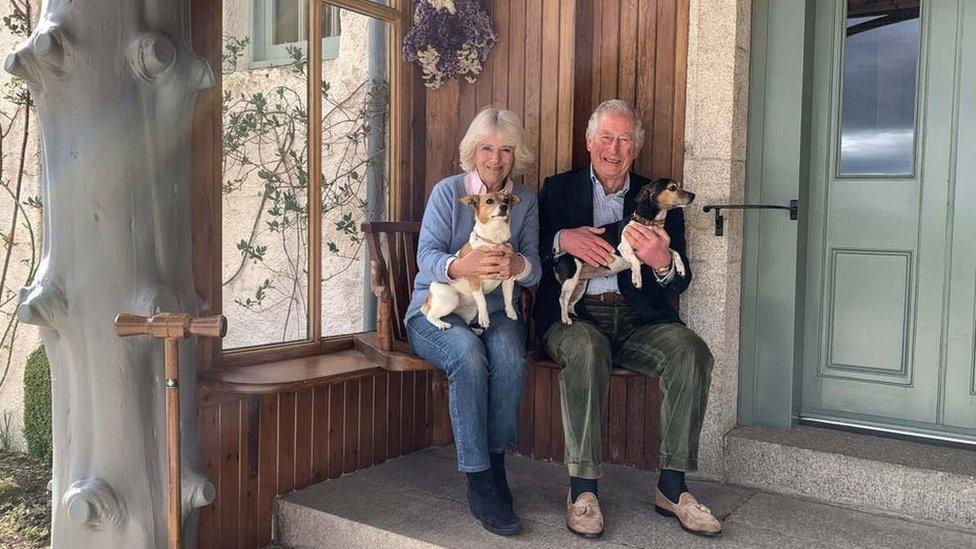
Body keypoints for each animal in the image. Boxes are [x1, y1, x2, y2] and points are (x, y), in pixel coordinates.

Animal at [422, 191, 524, 332]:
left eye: (506, 200)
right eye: (489, 201)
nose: (504, 207)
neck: (494, 241)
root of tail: (428, 299)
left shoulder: (508, 279)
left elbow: (508, 298)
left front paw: (511, 313)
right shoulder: (475, 282)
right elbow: (483, 301)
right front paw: (484, 319)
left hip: (470, 310)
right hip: (450, 298)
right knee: (430, 315)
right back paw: (441, 324)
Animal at [552, 178, 696, 324]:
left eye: (678, 186)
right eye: (672, 188)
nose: (693, 195)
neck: (648, 223)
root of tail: (558, 256)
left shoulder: (660, 246)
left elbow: (674, 252)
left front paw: (681, 268)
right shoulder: (624, 247)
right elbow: (636, 261)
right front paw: (637, 278)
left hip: (580, 285)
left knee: (571, 304)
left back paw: (578, 318)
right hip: (571, 280)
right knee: (563, 299)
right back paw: (566, 319)